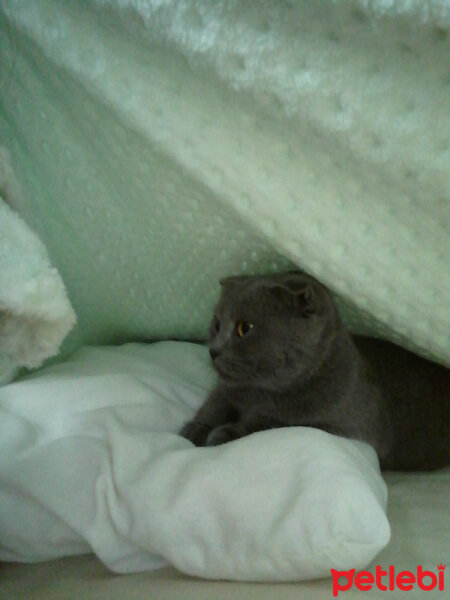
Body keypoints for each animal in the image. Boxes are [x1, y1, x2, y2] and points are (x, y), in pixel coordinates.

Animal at [180, 270, 450, 472]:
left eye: (245, 328)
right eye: (216, 324)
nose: (213, 351)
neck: (258, 393)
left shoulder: (339, 425)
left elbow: (267, 424)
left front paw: (223, 434)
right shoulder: (226, 391)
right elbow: (214, 405)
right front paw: (194, 429)